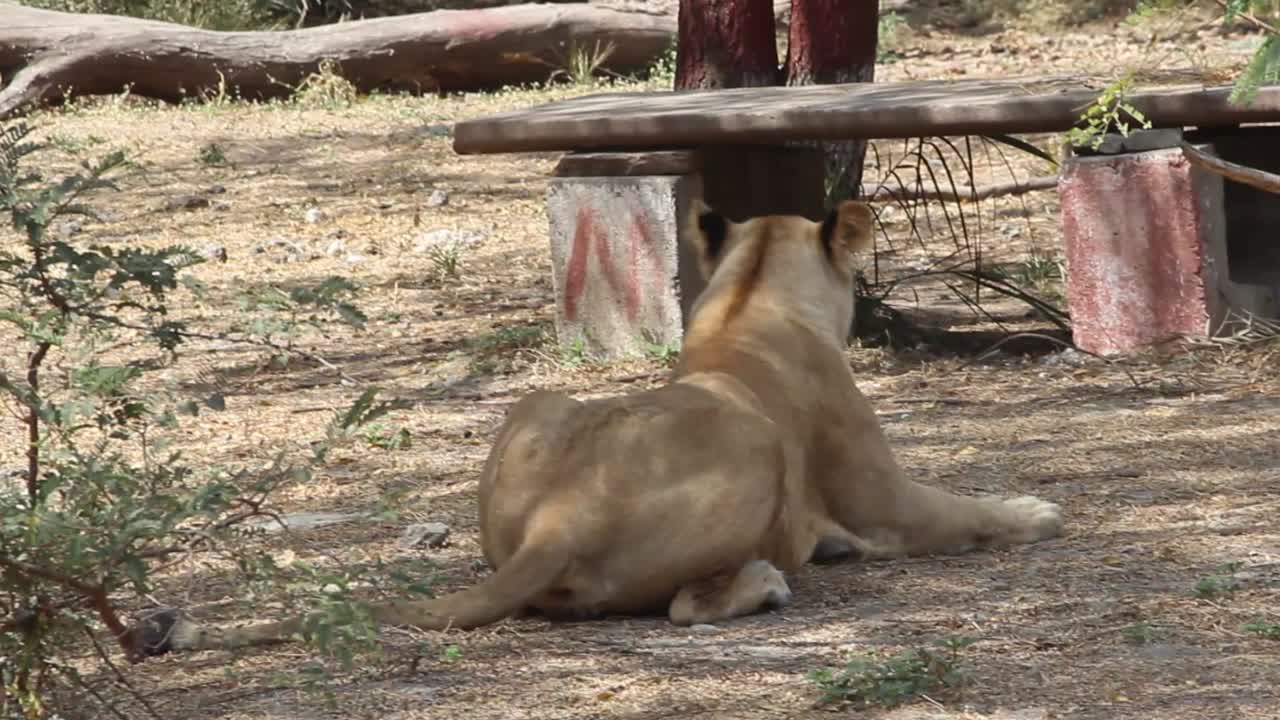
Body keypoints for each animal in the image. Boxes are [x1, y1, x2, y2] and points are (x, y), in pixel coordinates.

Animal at [133, 198, 1062, 656]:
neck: (753, 300)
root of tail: (560, 520)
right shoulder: (882, 498)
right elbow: (971, 512)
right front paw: (1039, 512)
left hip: (536, 406)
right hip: (754, 446)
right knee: (690, 605)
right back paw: (765, 581)